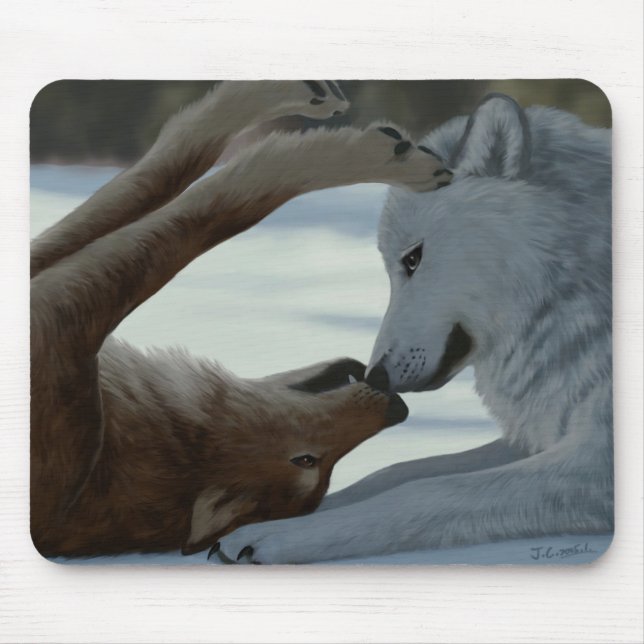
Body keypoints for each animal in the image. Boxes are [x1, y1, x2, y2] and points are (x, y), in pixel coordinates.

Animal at [30, 81, 455, 558]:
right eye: (306, 460)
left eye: (321, 469)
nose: (398, 408)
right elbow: (198, 200)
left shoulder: (58, 305)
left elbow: (196, 198)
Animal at [217, 92, 613, 564]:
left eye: (412, 258)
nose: (374, 377)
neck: (577, 292)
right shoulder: (540, 434)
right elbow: (395, 472)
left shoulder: (596, 459)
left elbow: (429, 491)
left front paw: (272, 536)